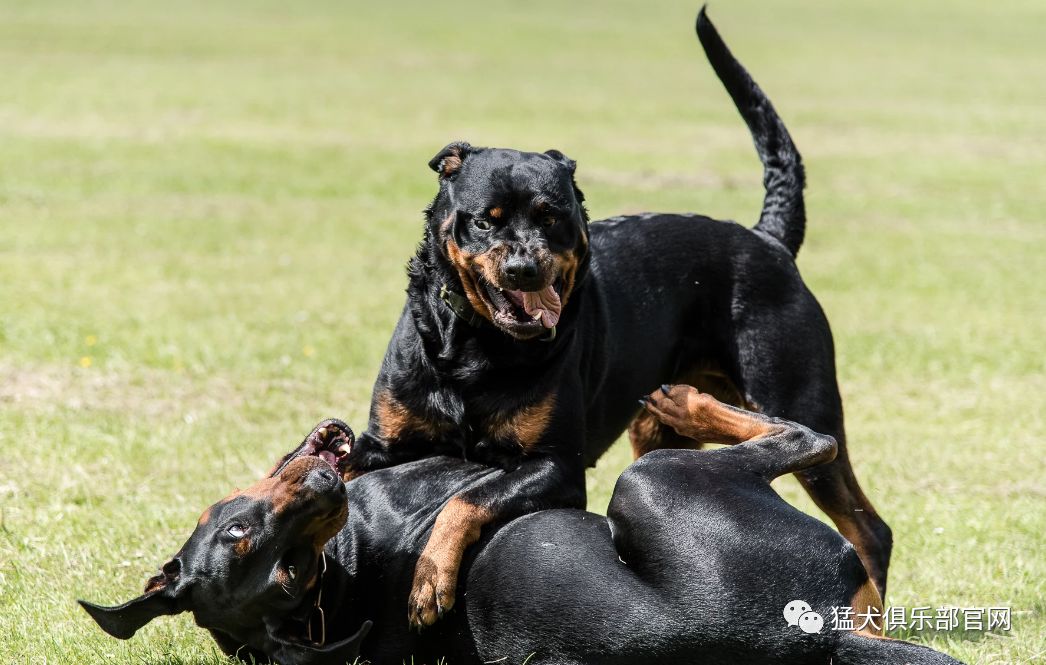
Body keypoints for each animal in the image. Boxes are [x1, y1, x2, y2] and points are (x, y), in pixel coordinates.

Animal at [340, 7, 891, 627]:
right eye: (487, 220)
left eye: (552, 217)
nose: (525, 268)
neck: (477, 347)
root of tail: (766, 239)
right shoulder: (382, 444)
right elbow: (341, 471)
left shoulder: (555, 465)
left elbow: (465, 498)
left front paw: (430, 578)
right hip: (657, 426)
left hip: (798, 393)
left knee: (868, 524)